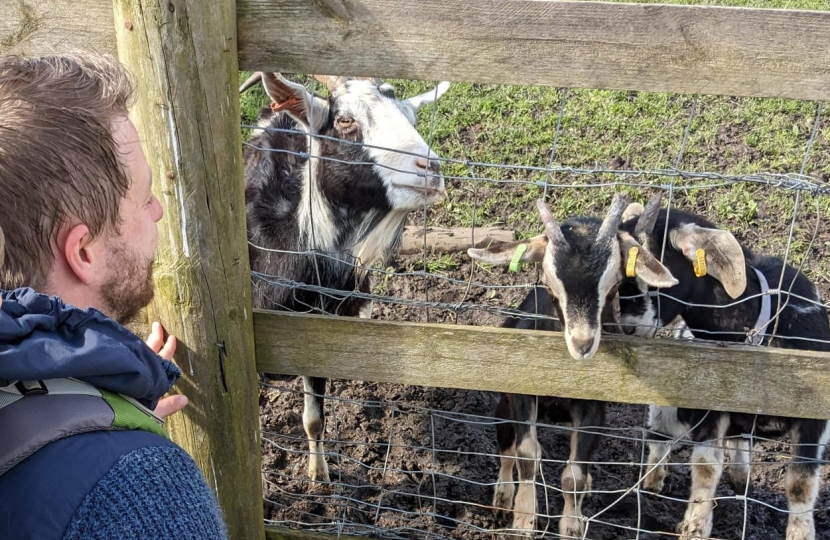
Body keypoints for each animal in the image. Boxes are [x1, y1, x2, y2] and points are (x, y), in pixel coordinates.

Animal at [464, 196, 680, 536]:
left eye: (615, 285)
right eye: (548, 285)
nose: (582, 343)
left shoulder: (593, 408)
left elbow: (574, 477)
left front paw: (571, 527)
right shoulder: (522, 394)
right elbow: (526, 455)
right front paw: (523, 522)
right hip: (503, 404)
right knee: (506, 448)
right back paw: (502, 497)